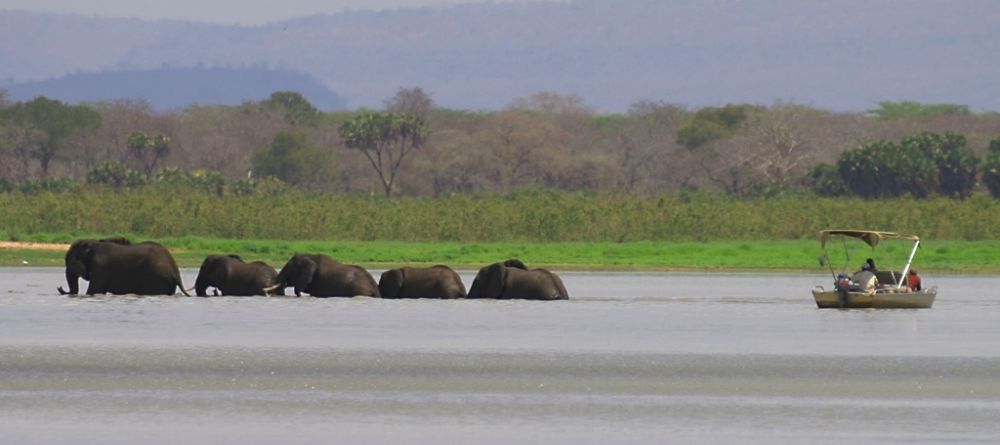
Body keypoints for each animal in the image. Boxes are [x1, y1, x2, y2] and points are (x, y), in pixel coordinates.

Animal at [58, 236, 189, 294]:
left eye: (68, 261)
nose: (59, 287)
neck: (93, 243)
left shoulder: (100, 266)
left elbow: (94, 290)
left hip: (157, 278)